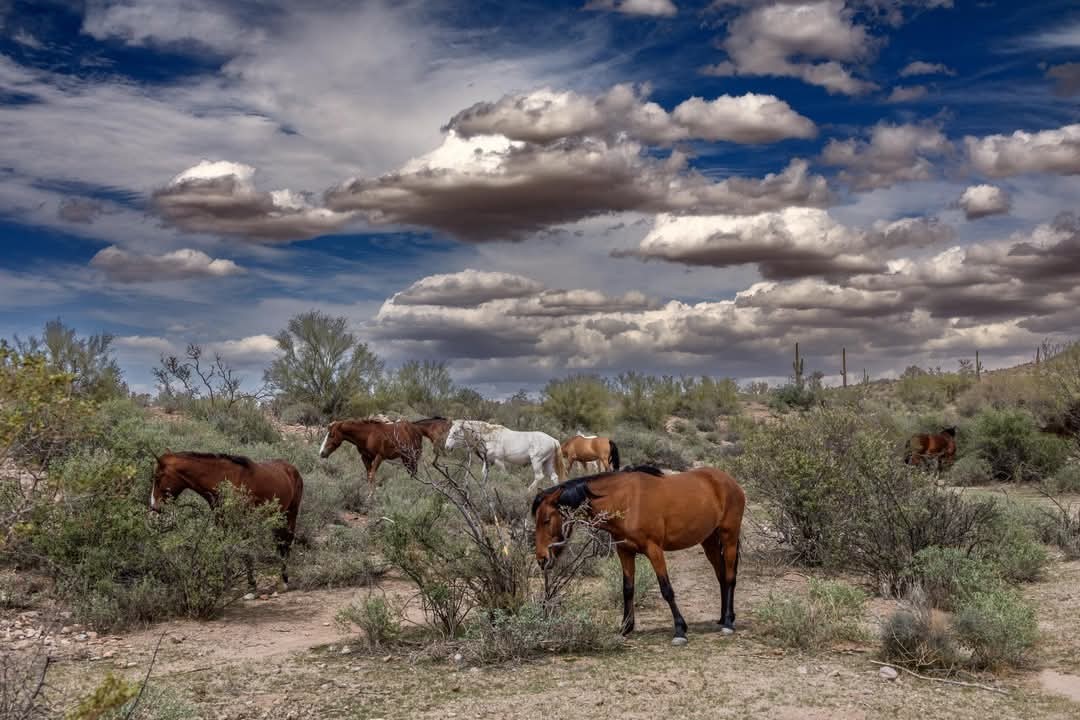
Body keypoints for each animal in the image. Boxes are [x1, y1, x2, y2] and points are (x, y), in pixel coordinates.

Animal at [149, 451, 304, 591]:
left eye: (157, 477)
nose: (154, 507)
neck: (224, 480)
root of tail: (291, 468)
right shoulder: (221, 520)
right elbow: (224, 546)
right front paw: (224, 581)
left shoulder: (242, 521)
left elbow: (245, 550)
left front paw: (251, 584)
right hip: (278, 516)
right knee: (280, 542)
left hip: (291, 513)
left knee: (287, 542)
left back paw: (285, 579)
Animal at [532, 465, 745, 645]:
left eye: (546, 520)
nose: (542, 559)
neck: (625, 501)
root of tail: (729, 481)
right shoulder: (625, 552)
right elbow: (627, 589)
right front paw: (625, 627)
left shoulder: (654, 550)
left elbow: (666, 590)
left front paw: (679, 630)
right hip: (709, 541)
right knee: (721, 576)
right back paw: (723, 618)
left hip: (729, 537)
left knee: (729, 576)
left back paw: (728, 622)